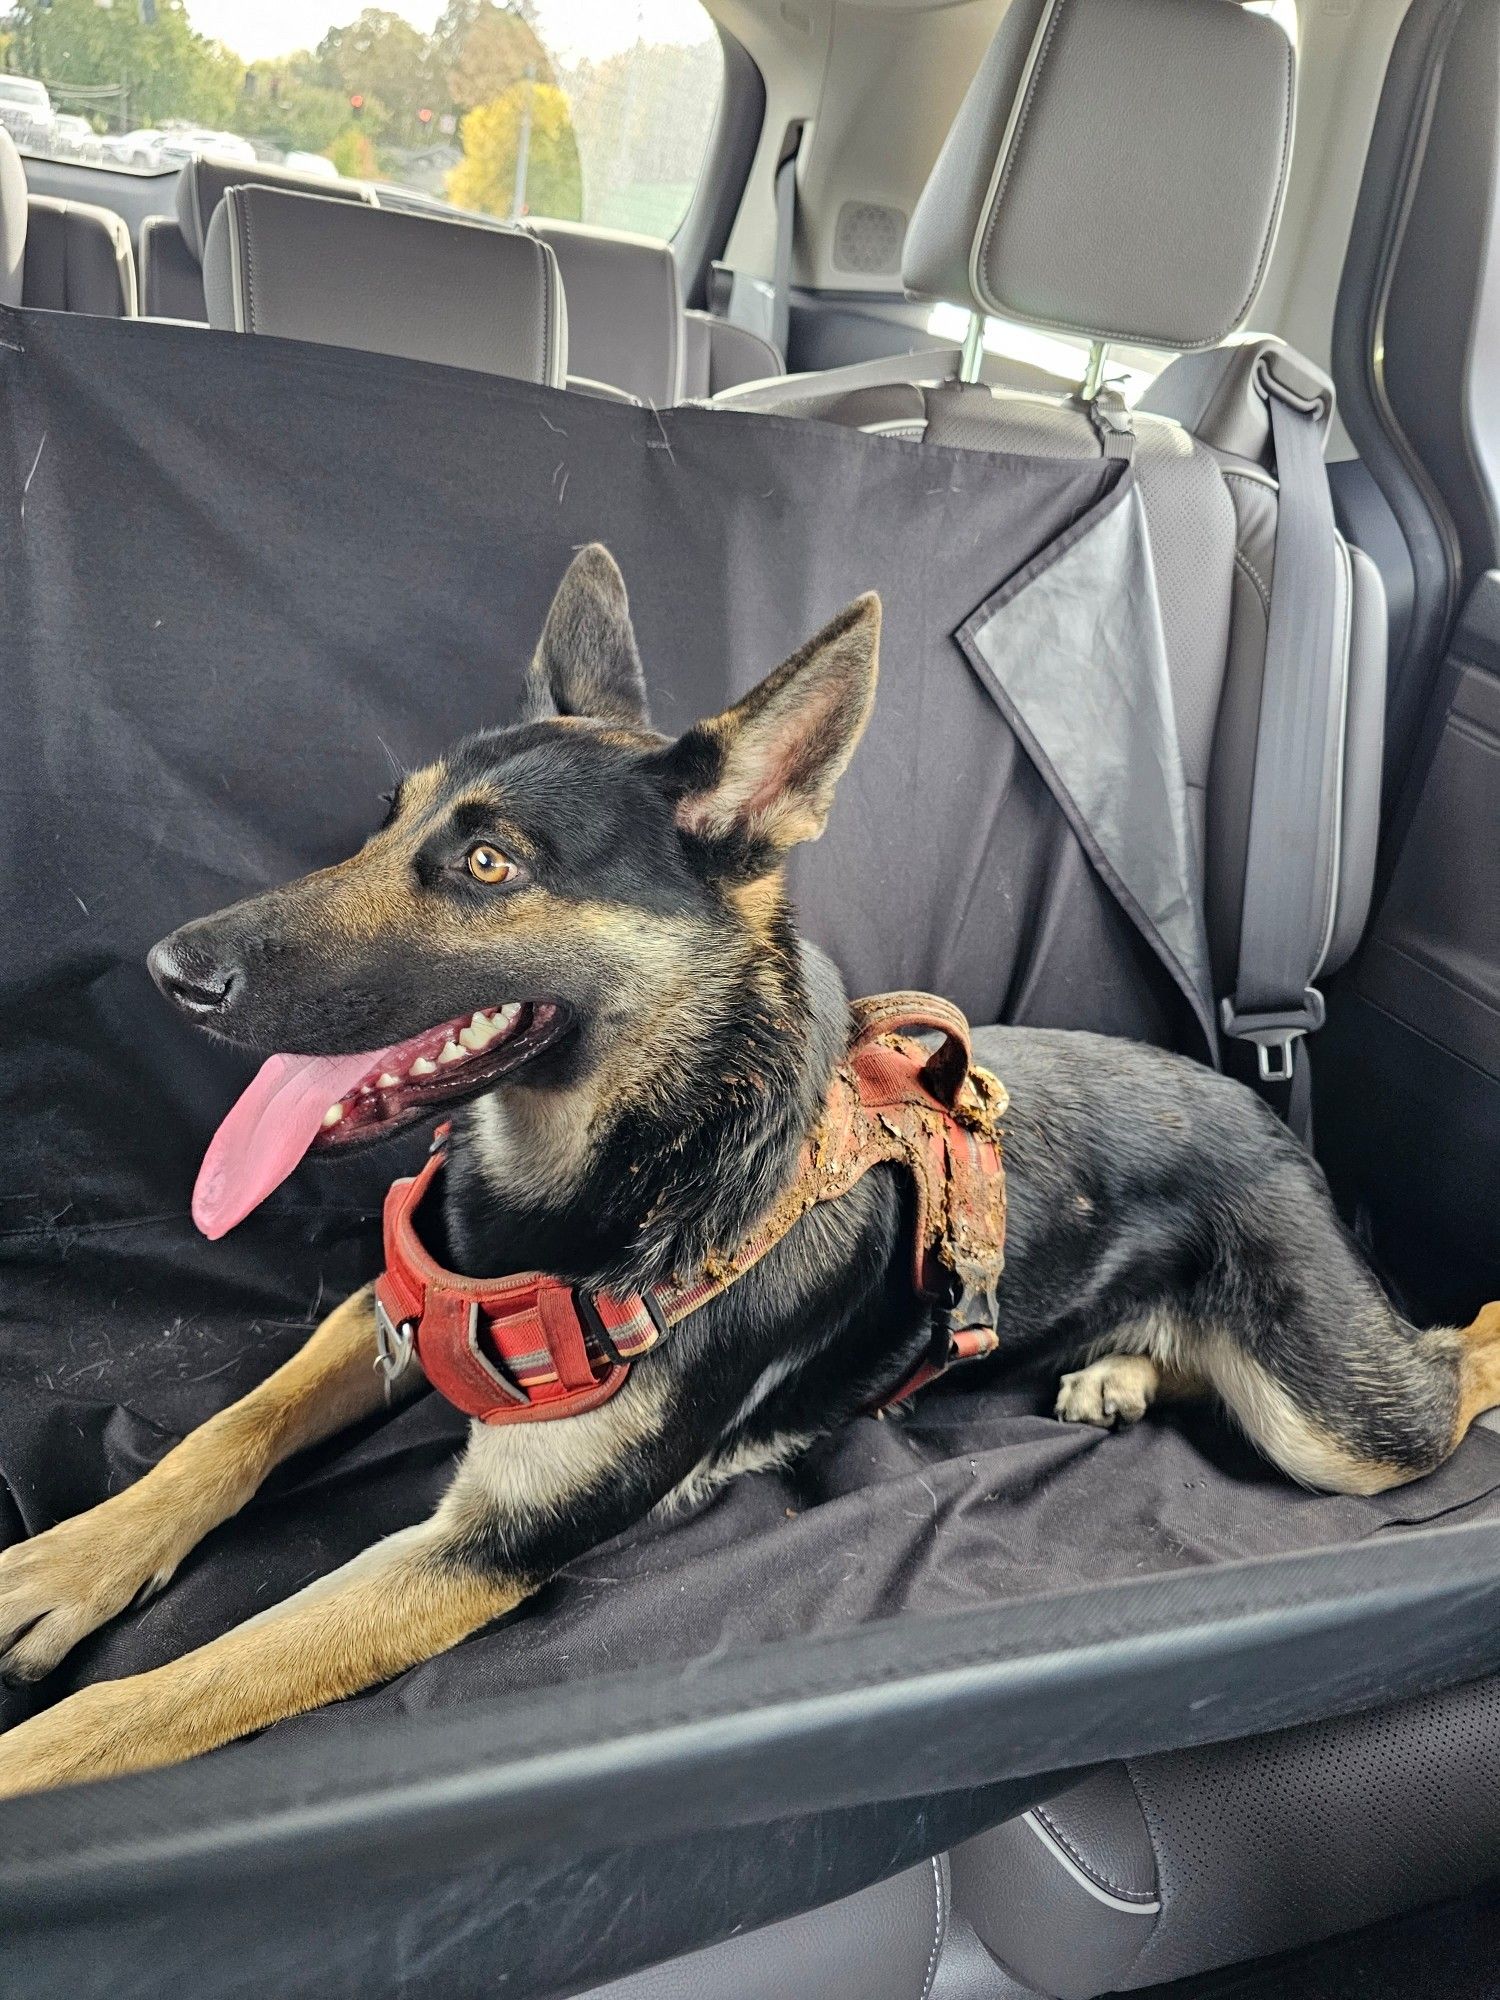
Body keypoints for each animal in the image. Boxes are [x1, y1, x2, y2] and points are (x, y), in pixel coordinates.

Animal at [2, 548, 1500, 1800]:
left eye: (486, 865)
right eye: (383, 827)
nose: (172, 972)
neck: (617, 1166)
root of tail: (1266, 1115)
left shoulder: (488, 1544)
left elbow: (180, 1688)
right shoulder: (387, 1312)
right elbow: (223, 1436)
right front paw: (65, 1563)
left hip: (1340, 1427)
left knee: (1452, 1364)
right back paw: (1121, 1370)